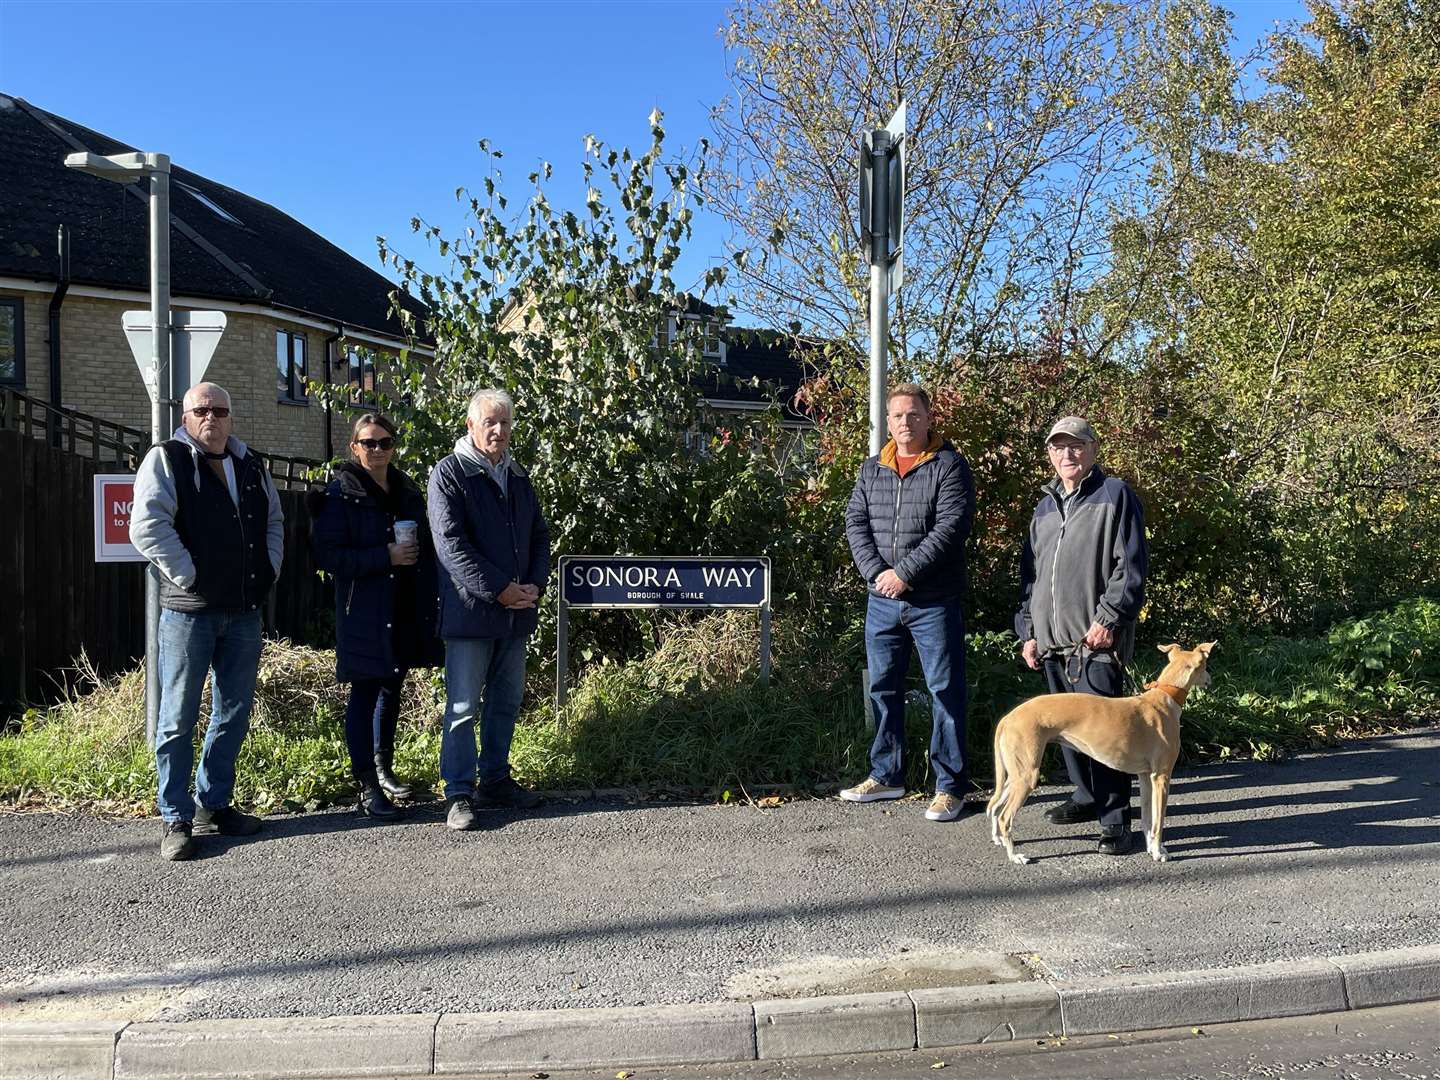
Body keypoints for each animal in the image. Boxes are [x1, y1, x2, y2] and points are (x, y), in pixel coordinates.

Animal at [984, 648, 1209, 869]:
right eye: (1205, 664)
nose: (1209, 679)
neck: (1163, 699)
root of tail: (1007, 718)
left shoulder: (1146, 776)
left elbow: (1147, 819)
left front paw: (1152, 848)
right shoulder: (1161, 777)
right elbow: (1158, 821)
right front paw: (1159, 853)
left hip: (1015, 774)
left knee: (994, 805)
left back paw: (998, 839)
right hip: (1026, 776)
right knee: (1004, 816)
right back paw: (1015, 856)